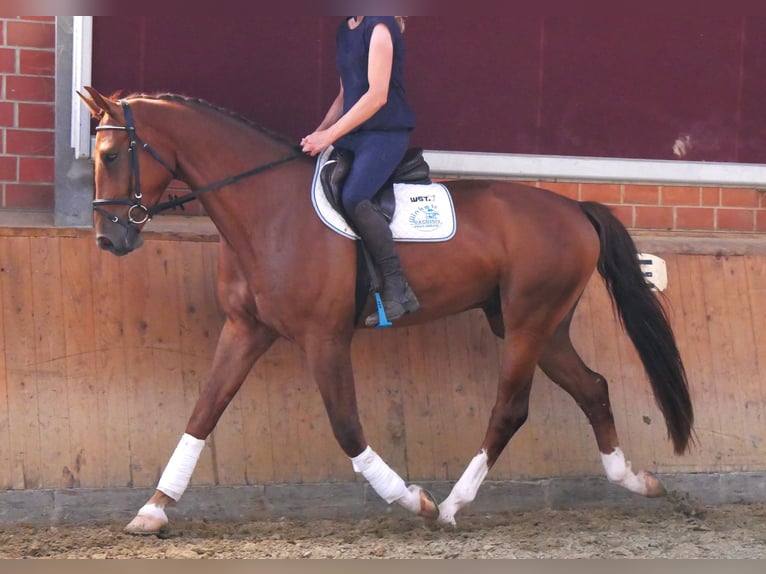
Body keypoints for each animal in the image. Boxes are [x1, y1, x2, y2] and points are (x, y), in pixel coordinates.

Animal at [78, 88, 696, 536]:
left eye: (112, 155)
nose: (109, 240)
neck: (268, 209)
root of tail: (575, 209)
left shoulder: (324, 338)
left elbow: (347, 427)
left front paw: (412, 500)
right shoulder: (245, 330)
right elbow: (203, 412)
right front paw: (154, 509)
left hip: (527, 322)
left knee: (511, 408)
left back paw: (451, 506)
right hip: (540, 326)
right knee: (592, 387)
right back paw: (636, 481)